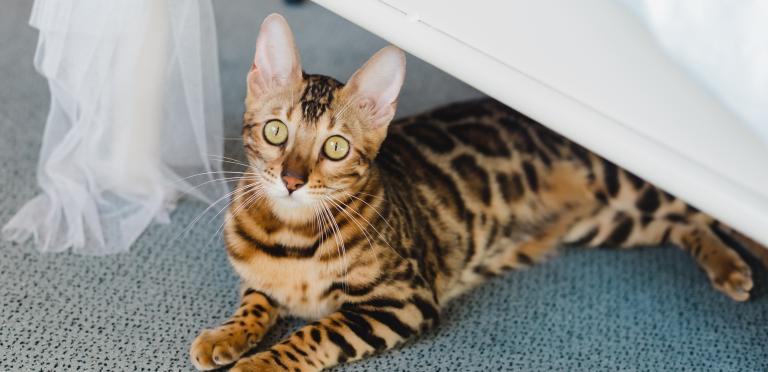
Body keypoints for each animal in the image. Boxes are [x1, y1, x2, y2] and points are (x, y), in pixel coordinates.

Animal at [189, 13, 764, 370]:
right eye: (275, 132)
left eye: (334, 147)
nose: (291, 180)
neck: (288, 236)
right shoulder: (261, 281)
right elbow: (254, 304)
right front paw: (227, 337)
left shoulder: (402, 301)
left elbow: (312, 333)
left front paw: (259, 364)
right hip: (609, 223)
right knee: (682, 224)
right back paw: (727, 267)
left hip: (625, 189)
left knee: (702, 213)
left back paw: (739, 262)